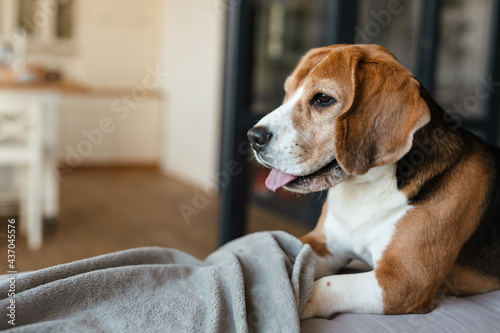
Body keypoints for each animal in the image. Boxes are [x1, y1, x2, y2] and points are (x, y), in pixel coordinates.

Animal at [247, 43, 500, 316]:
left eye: (323, 99)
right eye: (287, 92)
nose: (253, 137)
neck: (366, 188)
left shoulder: (405, 281)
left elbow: (321, 286)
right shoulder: (322, 244)